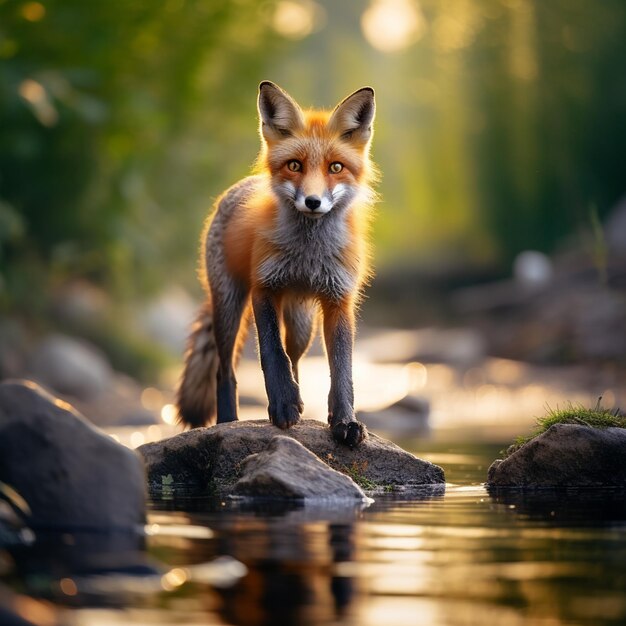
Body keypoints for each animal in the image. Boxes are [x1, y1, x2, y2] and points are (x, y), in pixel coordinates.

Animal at [178, 80, 378, 446]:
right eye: (294, 165)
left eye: (336, 167)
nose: (313, 202)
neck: (307, 255)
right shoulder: (264, 288)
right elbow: (271, 352)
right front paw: (283, 405)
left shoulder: (339, 300)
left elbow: (342, 369)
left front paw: (344, 422)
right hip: (229, 306)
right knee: (224, 369)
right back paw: (228, 420)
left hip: (301, 324)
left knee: (295, 359)